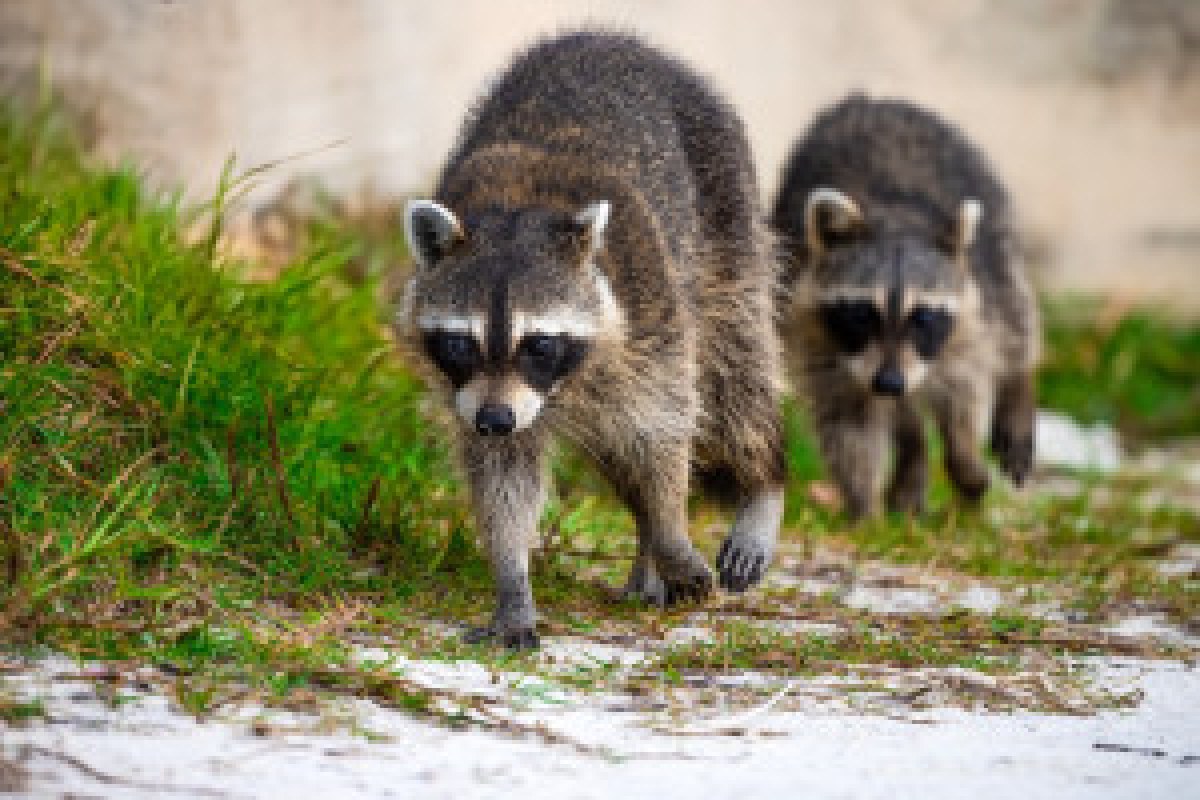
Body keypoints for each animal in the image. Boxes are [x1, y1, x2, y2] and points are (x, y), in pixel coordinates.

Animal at [397, 32, 786, 647]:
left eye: (538, 344)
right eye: (461, 344)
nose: (495, 419)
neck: (512, 212)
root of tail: (619, 38)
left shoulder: (649, 313)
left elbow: (664, 431)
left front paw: (671, 533)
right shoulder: (478, 395)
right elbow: (502, 474)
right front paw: (512, 581)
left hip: (727, 223)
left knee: (734, 375)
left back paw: (760, 484)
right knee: (619, 450)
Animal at [771, 93, 1038, 519]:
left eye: (923, 316)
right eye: (863, 313)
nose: (889, 382)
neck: (894, 217)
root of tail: (870, 99)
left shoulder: (971, 306)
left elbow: (965, 384)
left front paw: (963, 452)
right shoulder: (818, 332)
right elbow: (849, 421)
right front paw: (864, 508)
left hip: (996, 227)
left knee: (1017, 319)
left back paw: (1016, 389)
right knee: (904, 417)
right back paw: (910, 469)